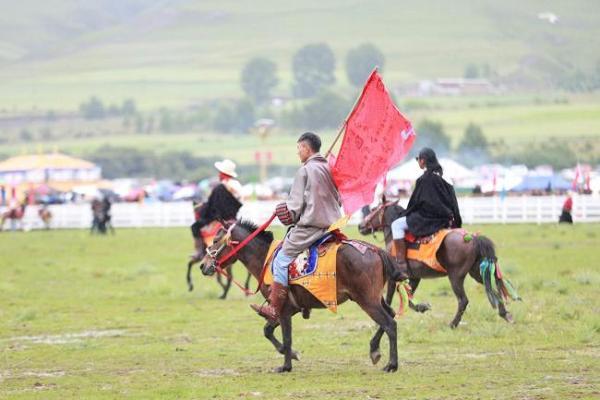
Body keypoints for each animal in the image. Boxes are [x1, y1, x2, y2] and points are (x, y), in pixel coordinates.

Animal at [202, 220, 404, 374]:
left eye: (216, 240)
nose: (203, 266)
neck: (265, 258)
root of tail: (376, 250)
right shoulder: (286, 309)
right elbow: (268, 331)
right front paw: (292, 354)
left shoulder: (283, 309)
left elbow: (286, 336)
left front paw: (286, 366)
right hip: (375, 298)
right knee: (391, 314)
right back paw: (374, 350)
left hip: (367, 300)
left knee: (390, 324)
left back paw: (391, 364)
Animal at [356, 200, 520, 328]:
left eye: (373, 209)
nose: (360, 226)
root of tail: (472, 237)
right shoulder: (414, 277)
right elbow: (410, 298)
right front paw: (422, 307)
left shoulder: (392, 277)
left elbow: (389, 298)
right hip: (477, 272)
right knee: (494, 287)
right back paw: (505, 314)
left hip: (455, 277)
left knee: (463, 300)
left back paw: (453, 324)